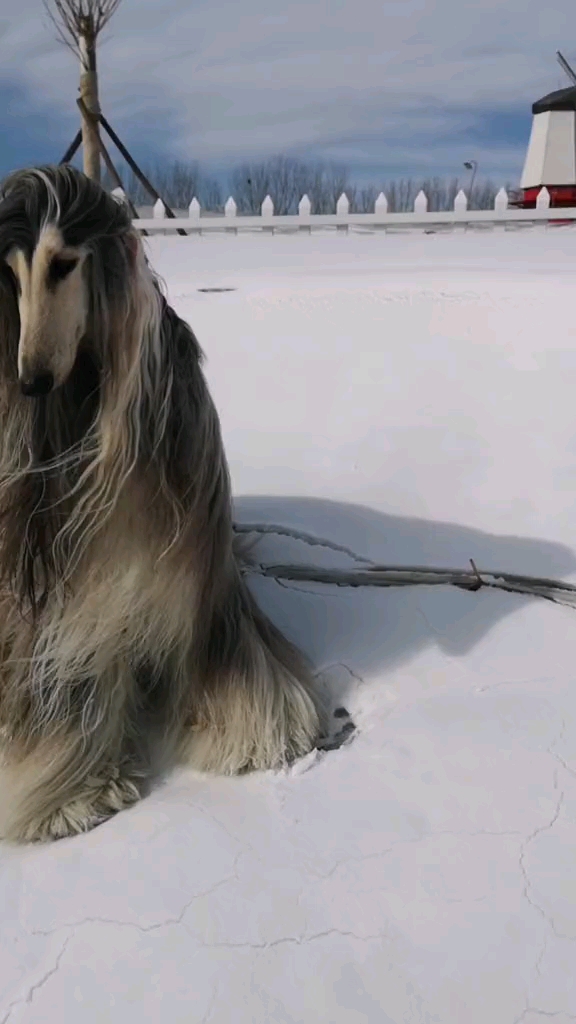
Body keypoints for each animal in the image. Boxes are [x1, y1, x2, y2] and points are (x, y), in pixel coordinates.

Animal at [0, 165, 323, 839]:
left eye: (64, 264)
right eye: (8, 274)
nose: (31, 382)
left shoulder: (200, 560)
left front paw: (249, 727)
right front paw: (71, 790)